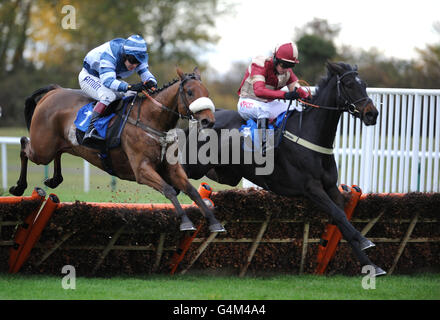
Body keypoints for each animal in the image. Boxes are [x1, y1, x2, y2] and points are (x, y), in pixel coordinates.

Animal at [9, 67, 225, 232]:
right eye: (190, 92)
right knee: (24, 144)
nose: (208, 121)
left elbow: (192, 191)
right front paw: (186, 222)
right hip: (42, 149)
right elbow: (169, 190)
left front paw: (215, 223)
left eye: (206, 92)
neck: (152, 121)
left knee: (57, 151)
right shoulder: (142, 170)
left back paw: (54, 179)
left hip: (60, 144)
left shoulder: (171, 169)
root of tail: (55, 90)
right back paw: (18, 186)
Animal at [182, 62, 384, 276]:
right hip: (195, 165)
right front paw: (364, 240)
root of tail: (204, 119)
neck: (311, 134)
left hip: (225, 173)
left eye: (364, 85)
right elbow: (338, 215)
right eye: (349, 84)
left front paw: (371, 265)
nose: (372, 114)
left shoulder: (330, 187)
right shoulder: (312, 189)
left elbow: (342, 220)